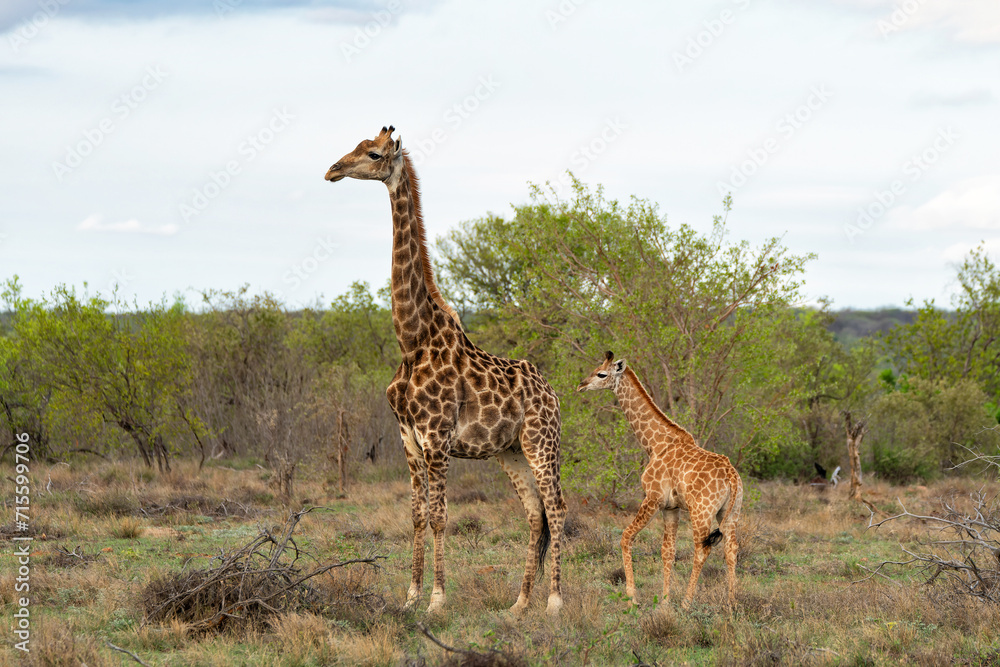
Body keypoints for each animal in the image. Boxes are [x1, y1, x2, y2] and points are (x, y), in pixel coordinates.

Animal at [324, 126, 567, 616]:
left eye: (373, 154)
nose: (332, 170)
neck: (412, 339)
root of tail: (552, 393)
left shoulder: (437, 438)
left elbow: (440, 516)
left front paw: (437, 599)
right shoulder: (409, 439)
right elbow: (417, 515)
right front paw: (410, 596)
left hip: (541, 442)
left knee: (557, 508)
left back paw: (553, 602)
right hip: (510, 451)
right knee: (535, 514)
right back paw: (519, 603)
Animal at [577, 351, 742, 610]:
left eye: (601, 374)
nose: (581, 385)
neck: (654, 444)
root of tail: (732, 478)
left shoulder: (653, 498)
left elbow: (626, 537)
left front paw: (632, 597)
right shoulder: (670, 507)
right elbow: (668, 551)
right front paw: (664, 601)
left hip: (701, 512)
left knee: (701, 550)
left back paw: (687, 602)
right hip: (730, 512)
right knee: (731, 549)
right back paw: (731, 602)